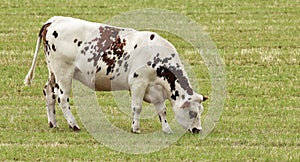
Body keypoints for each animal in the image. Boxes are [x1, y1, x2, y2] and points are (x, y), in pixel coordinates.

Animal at [24, 15, 207, 134]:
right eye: (192, 113)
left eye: (201, 111)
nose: (198, 130)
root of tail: (53, 20)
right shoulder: (138, 82)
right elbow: (137, 107)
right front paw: (135, 128)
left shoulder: (155, 89)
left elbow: (161, 110)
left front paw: (166, 129)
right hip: (63, 72)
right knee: (62, 97)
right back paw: (73, 125)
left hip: (53, 72)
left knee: (49, 92)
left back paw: (53, 123)